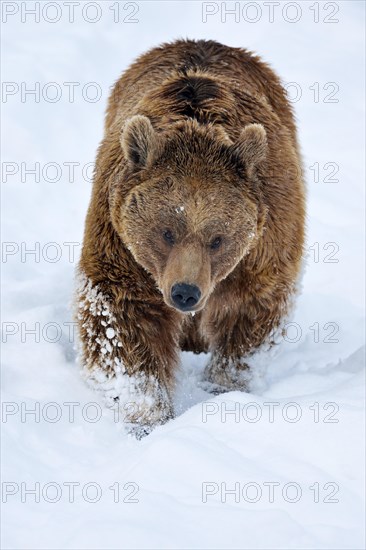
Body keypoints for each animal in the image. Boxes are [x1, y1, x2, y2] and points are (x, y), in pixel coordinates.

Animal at [76, 38, 306, 436]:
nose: (185, 292)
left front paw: (224, 387)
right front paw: (148, 414)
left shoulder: (263, 241)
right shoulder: (120, 243)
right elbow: (121, 320)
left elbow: (250, 312)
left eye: (217, 239)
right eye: (167, 232)